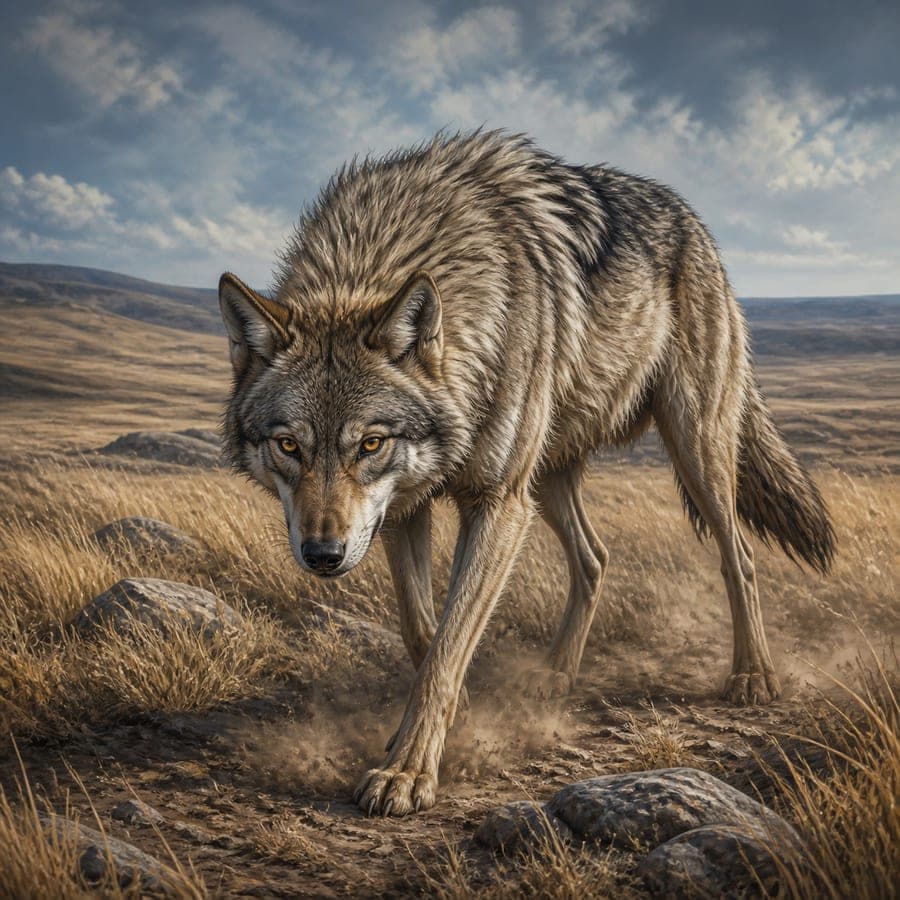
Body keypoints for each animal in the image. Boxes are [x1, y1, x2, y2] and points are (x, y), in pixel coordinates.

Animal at [218, 130, 834, 817]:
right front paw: (439, 723)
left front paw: (408, 772)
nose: (322, 555)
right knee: (595, 557)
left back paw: (752, 675)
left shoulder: (496, 502)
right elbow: (423, 633)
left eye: (371, 444)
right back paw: (556, 676)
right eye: (289, 446)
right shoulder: (405, 508)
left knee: (740, 557)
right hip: (549, 478)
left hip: (690, 453)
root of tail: (695, 222)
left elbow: (447, 647)